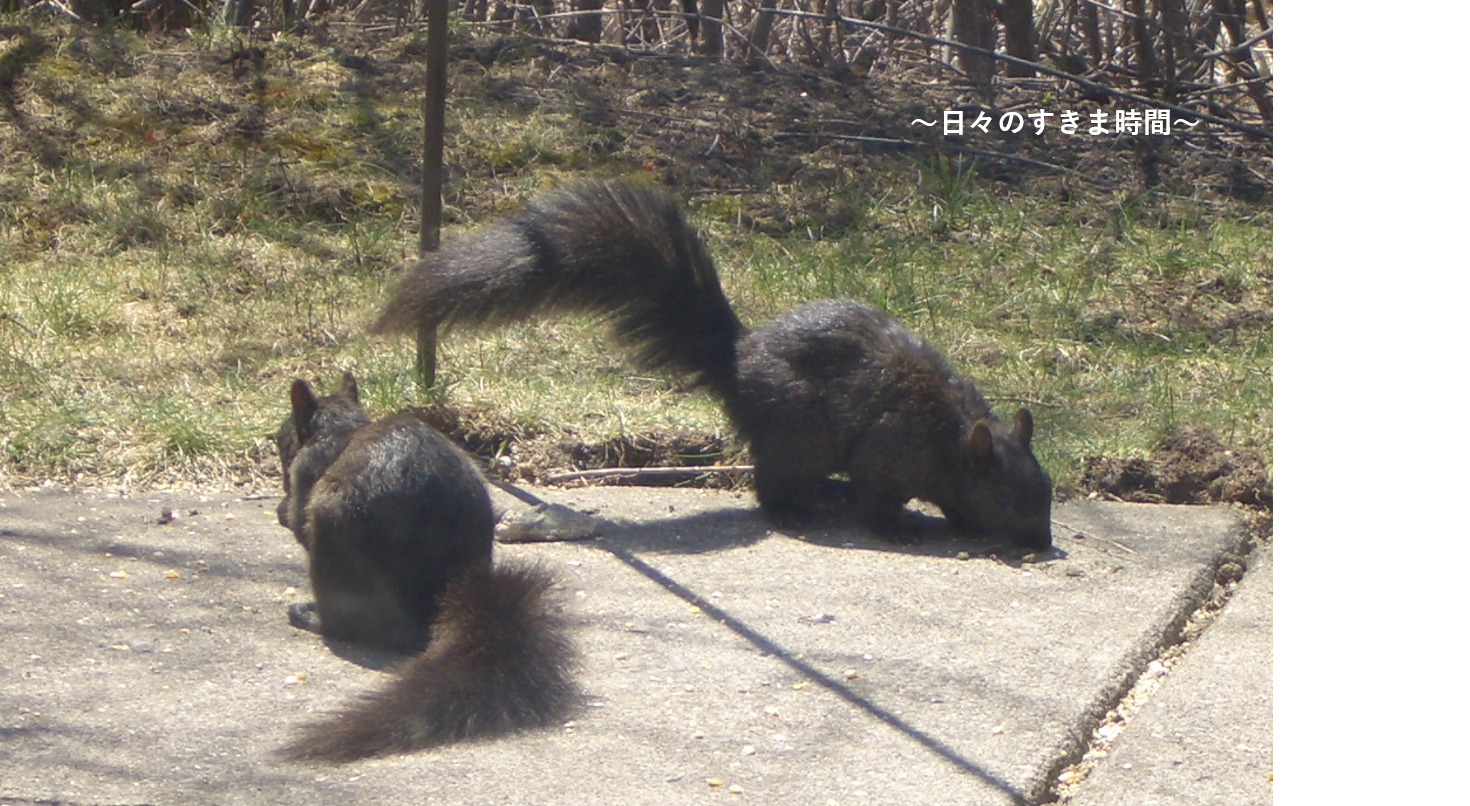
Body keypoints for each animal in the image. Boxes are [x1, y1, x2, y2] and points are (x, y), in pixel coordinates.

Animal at [273, 372, 576, 764]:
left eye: (282, 439)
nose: (280, 455)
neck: (342, 429)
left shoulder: (307, 472)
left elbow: (297, 516)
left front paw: (284, 509)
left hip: (331, 537)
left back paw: (311, 616)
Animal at [373, 179, 1052, 550]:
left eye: (1045, 491)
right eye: (1005, 497)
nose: (1043, 544)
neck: (951, 439)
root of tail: (738, 358)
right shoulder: (890, 453)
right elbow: (879, 498)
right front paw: (901, 527)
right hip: (798, 434)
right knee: (772, 486)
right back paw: (798, 506)